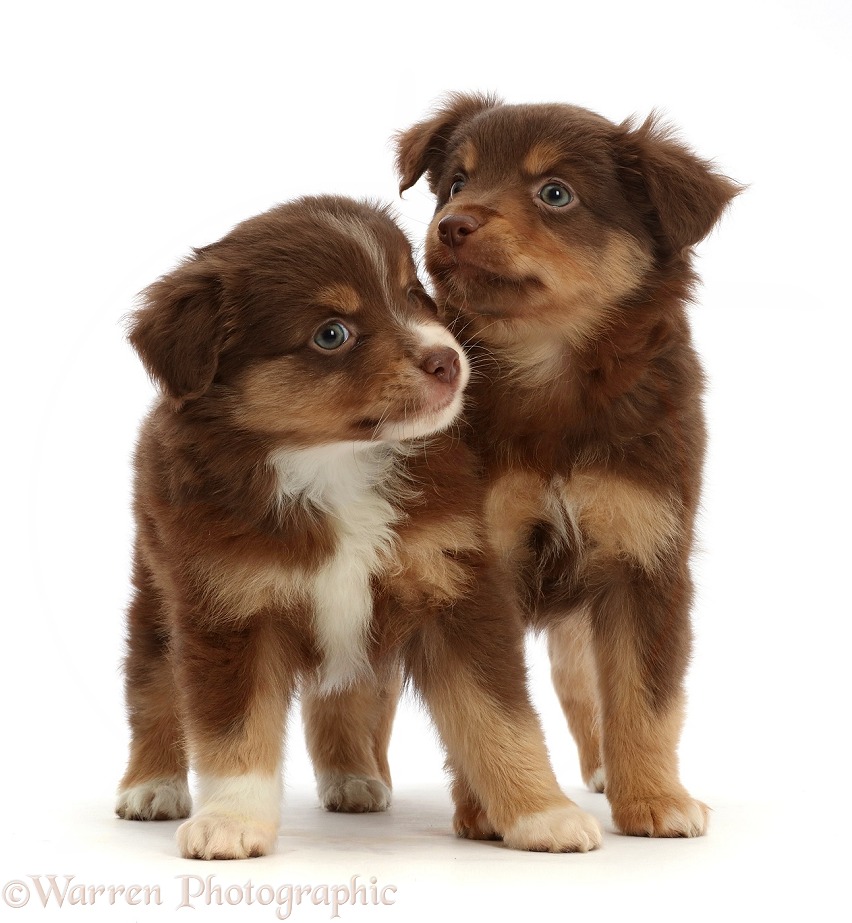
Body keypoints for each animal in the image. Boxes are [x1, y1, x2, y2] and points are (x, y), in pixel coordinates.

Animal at [116, 195, 604, 860]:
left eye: (413, 293)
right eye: (332, 334)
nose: (449, 361)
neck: (335, 465)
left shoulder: (454, 587)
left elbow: (498, 717)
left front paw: (543, 813)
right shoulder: (227, 608)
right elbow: (234, 732)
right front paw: (232, 822)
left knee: (343, 690)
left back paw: (352, 777)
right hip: (156, 591)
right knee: (154, 688)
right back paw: (151, 785)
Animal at [394, 92, 740, 836]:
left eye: (555, 194)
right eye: (456, 182)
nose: (451, 225)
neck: (548, 369)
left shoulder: (645, 560)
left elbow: (643, 697)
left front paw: (656, 799)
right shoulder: (477, 563)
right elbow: (482, 704)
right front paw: (490, 810)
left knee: (585, 683)